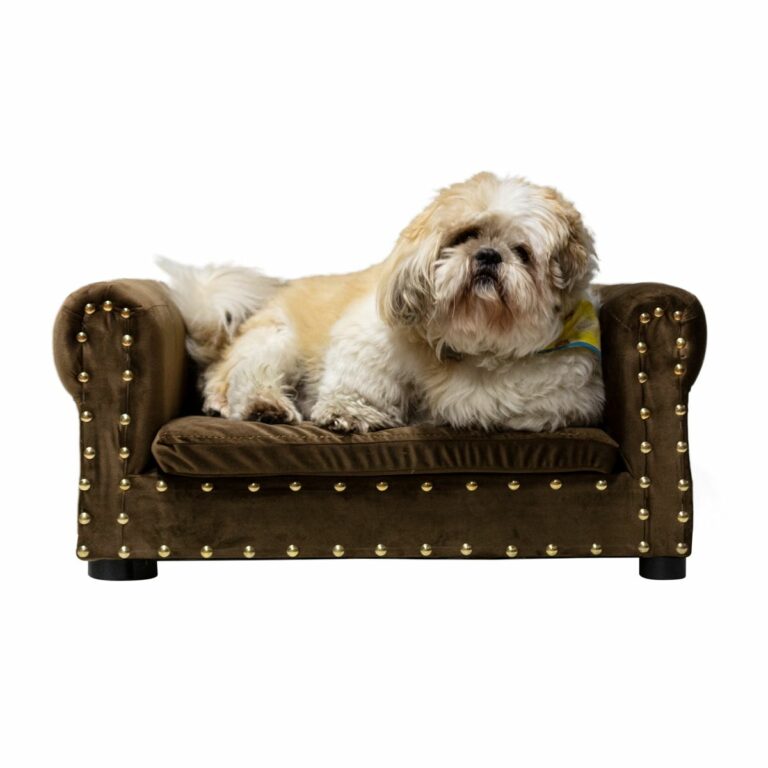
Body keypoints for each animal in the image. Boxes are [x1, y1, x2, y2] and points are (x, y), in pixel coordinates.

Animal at [159, 172, 605, 433]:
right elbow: (363, 381)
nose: (489, 255)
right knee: (243, 378)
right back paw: (260, 407)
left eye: (523, 253)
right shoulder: (369, 337)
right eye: (465, 236)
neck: (476, 342)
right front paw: (350, 413)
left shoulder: (560, 396)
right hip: (277, 340)